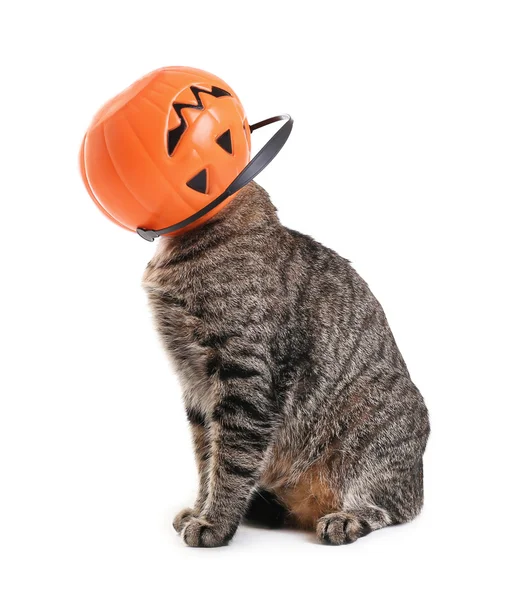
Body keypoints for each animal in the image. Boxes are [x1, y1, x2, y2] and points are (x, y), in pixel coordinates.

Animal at [142, 183, 428, 548]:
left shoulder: (245, 378)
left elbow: (230, 460)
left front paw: (215, 522)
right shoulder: (193, 384)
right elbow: (206, 458)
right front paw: (200, 508)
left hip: (373, 418)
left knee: (392, 507)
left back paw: (347, 517)